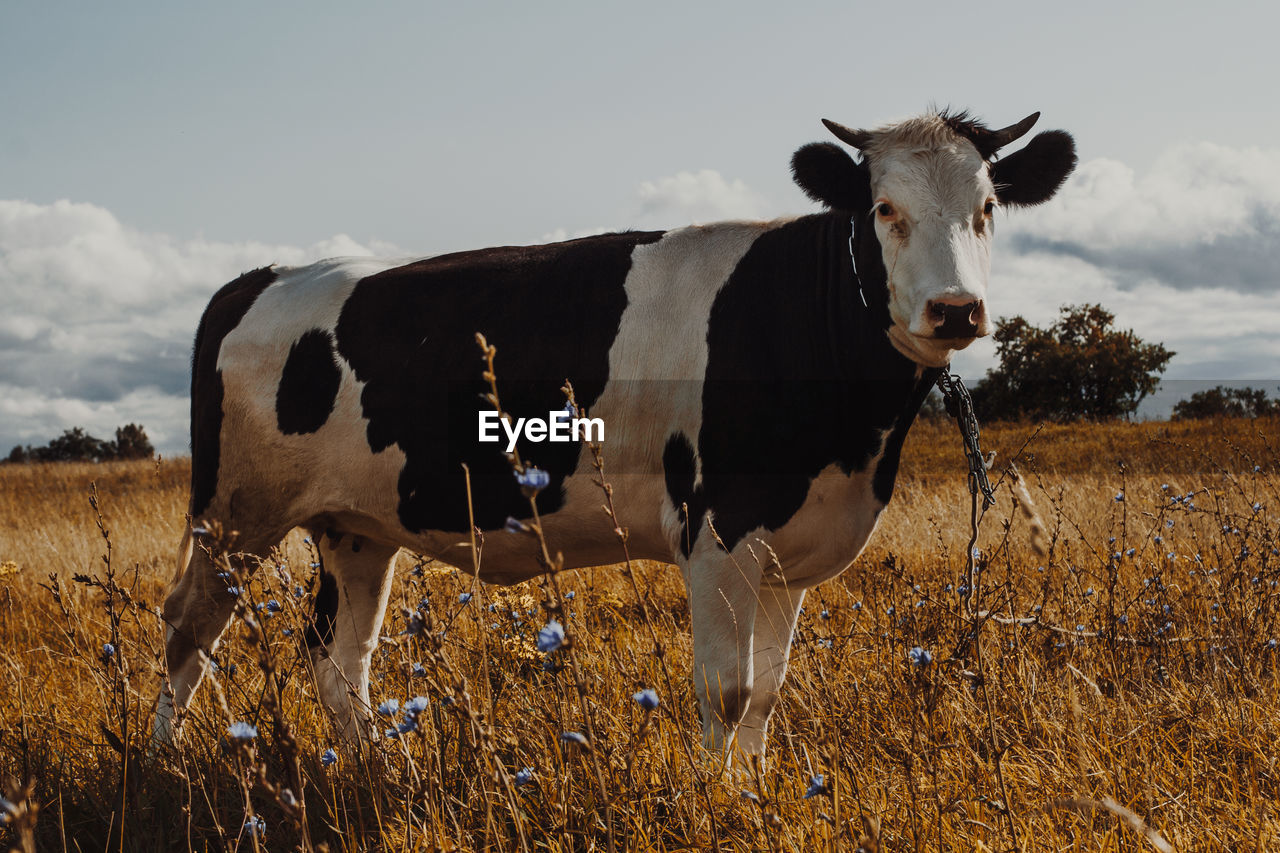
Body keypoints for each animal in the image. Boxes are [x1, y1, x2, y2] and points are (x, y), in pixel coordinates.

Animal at [157, 109, 1080, 753]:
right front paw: (721, 802)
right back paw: (167, 762)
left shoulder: (795, 538)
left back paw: (379, 766)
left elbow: (768, 691)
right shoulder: (719, 528)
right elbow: (727, 691)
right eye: (885, 209)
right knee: (189, 629)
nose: (955, 309)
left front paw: (753, 792)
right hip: (236, 514)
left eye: (989, 207)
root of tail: (263, 276)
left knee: (337, 658)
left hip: (355, 527)